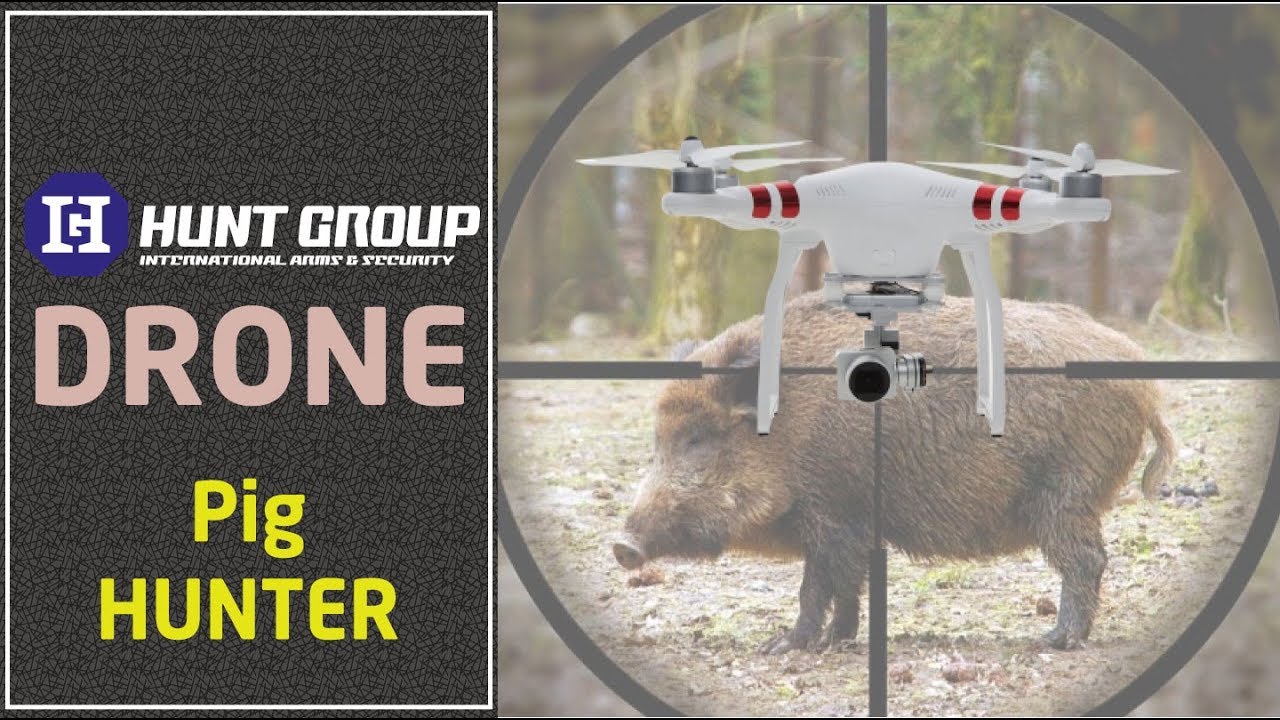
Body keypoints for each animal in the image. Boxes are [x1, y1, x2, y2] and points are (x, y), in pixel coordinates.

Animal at [612, 292, 1175, 653]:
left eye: (698, 439)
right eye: (657, 440)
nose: (621, 546)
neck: (788, 430)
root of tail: (1147, 388)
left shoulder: (834, 512)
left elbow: (819, 584)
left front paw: (783, 647)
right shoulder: (846, 524)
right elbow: (844, 585)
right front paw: (837, 642)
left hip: (1067, 493)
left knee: (1086, 560)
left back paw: (1055, 641)